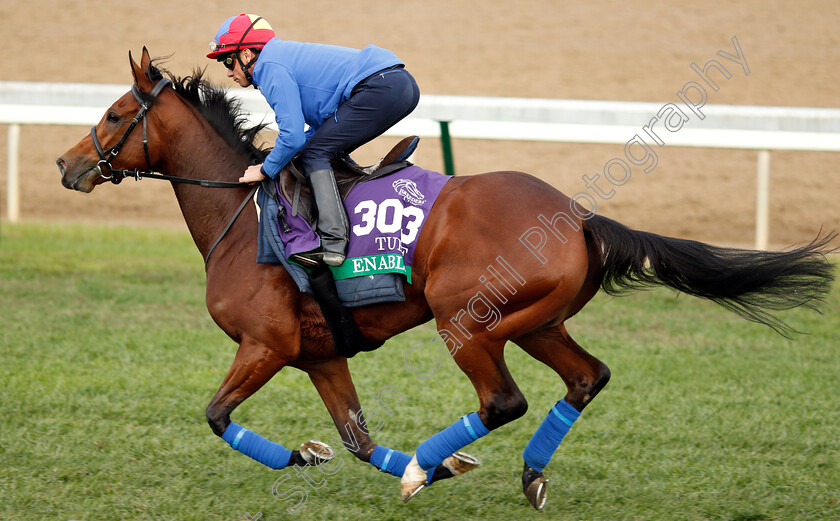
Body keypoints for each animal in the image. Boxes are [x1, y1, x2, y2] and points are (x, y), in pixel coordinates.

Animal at [55, 49, 836, 508]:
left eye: (116, 114)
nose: (67, 165)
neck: (241, 218)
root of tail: (579, 216)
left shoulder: (266, 344)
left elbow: (218, 416)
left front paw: (324, 457)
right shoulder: (319, 354)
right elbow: (355, 438)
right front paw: (370, 457)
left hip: (467, 319)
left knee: (504, 399)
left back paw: (431, 467)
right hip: (540, 321)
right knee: (586, 377)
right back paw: (520, 472)